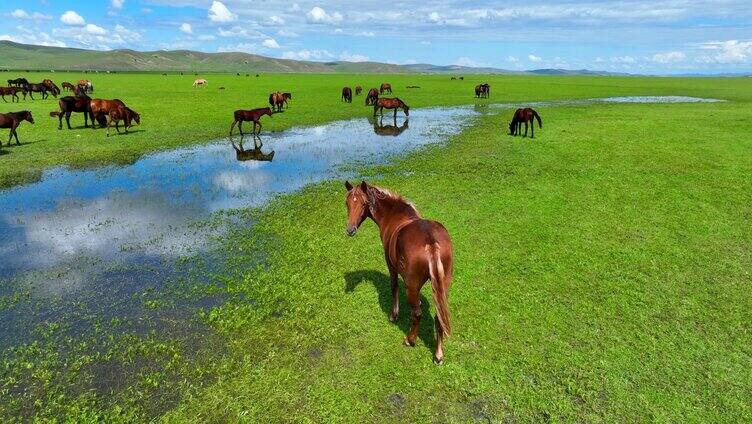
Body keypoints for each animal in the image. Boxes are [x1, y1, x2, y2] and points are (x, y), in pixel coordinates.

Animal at [346, 181, 452, 362]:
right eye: (347, 203)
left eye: (364, 203)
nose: (350, 230)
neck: (395, 215)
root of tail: (431, 243)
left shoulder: (391, 265)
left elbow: (394, 286)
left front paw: (393, 315)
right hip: (443, 285)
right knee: (439, 316)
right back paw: (438, 354)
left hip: (412, 284)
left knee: (417, 314)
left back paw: (410, 340)